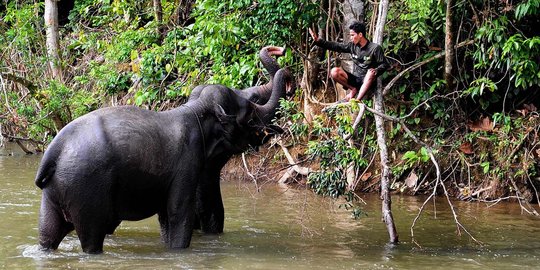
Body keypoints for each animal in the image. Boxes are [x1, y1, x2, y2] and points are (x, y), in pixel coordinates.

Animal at [33, 68, 292, 254]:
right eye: (248, 111)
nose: (281, 55)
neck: (196, 109)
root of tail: (54, 149)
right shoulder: (187, 161)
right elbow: (177, 214)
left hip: (55, 191)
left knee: (48, 234)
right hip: (86, 189)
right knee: (91, 239)